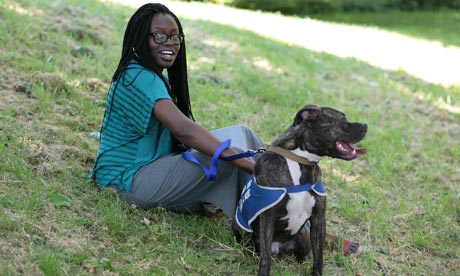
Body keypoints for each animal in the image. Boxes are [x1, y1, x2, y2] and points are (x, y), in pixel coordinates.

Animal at [232, 104, 368, 274]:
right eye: (344, 121)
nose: (366, 125)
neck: (300, 161)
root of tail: (277, 248)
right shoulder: (268, 219)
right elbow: (265, 258)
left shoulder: (318, 219)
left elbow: (318, 257)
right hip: (241, 229)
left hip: (303, 235)